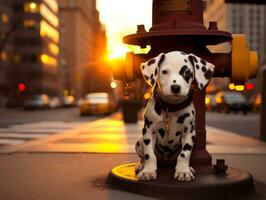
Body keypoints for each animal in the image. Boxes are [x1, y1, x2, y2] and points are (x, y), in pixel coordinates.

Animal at [136, 51, 215, 181]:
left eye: (187, 72)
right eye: (164, 72)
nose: (176, 87)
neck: (171, 108)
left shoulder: (189, 133)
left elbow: (184, 154)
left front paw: (183, 171)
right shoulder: (148, 131)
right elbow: (149, 155)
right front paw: (148, 171)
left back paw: (189, 168)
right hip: (139, 142)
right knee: (143, 156)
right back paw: (142, 166)